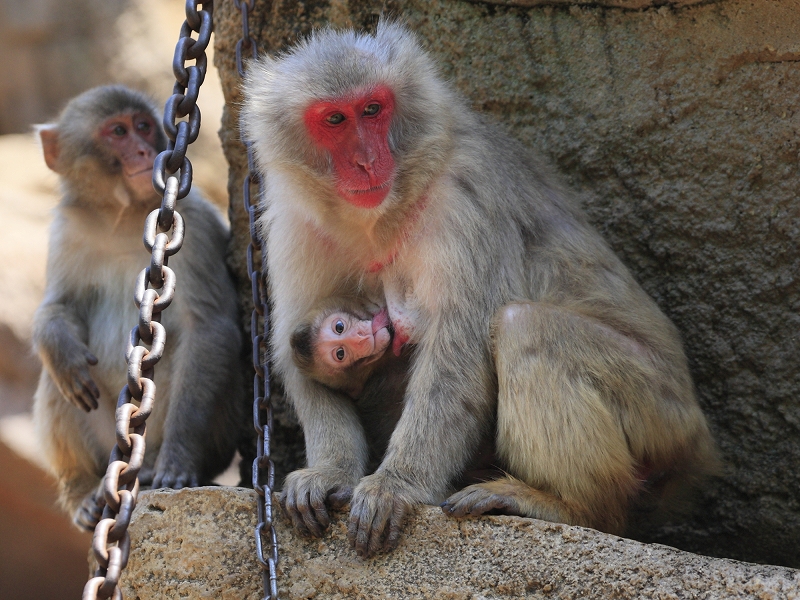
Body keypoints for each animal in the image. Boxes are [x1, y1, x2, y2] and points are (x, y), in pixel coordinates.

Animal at [32, 85, 244, 528]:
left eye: (144, 126)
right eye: (118, 132)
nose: (145, 151)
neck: (122, 215)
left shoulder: (194, 224)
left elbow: (209, 328)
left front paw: (179, 460)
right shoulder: (67, 231)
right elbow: (57, 307)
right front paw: (60, 346)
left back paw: (151, 468)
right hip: (104, 444)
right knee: (57, 378)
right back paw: (81, 490)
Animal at [241, 23, 716, 556]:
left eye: (373, 109)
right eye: (335, 119)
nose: (366, 161)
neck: (379, 217)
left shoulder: (465, 199)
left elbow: (458, 354)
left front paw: (396, 486)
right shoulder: (294, 222)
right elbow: (298, 357)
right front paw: (330, 472)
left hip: (659, 411)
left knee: (524, 327)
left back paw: (570, 506)